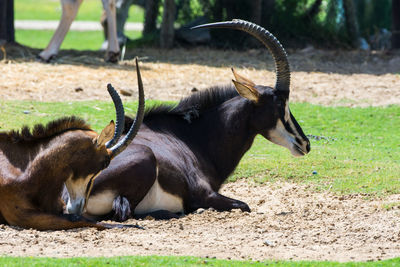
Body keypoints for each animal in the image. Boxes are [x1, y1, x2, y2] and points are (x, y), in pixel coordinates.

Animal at [0, 58, 145, 230]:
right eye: (105, 163)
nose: (78, 206)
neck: (25, 169)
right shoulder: (22, 216)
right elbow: (78, 218)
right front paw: (131, 226)